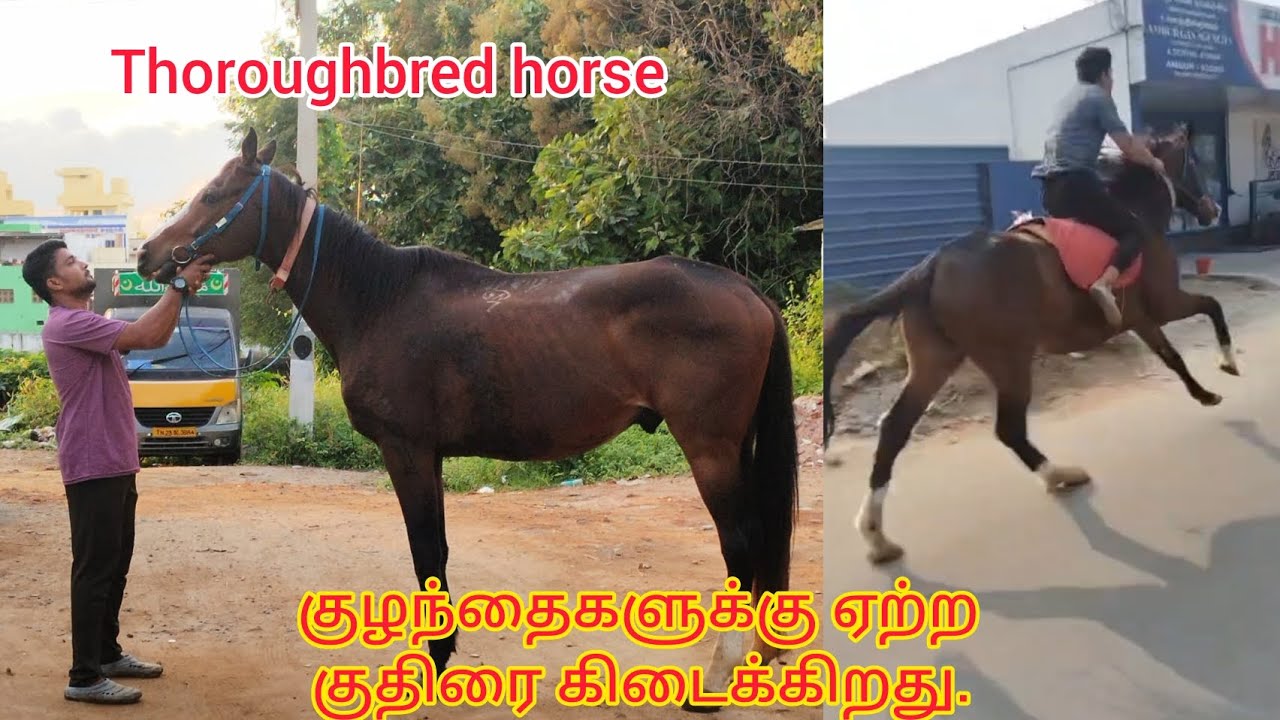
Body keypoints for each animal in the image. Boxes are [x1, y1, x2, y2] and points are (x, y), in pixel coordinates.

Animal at [136, 129, 800, 703]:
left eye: (214, 195)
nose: (148, 255)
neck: (377, 300)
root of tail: (744, 290)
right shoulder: (429, 455)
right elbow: (440, 551)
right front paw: (443, 652)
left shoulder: (405, 450)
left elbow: (425, 550)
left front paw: (431, 664)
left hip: (710, 450)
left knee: (741, 547)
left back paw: (718, 679)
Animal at [823, 123, 1230, 565]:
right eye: (1197, 161)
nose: (1213, 209)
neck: (1137, 215)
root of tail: (932, 266)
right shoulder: (1163, 306)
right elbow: (1209, 311)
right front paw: (1225, 367)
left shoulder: (1142, 319)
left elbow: (1172, 357)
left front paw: (1206, 392)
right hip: (1009, 359)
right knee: (1009, 428)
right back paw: (1060, 475)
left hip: (936, 361)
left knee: (896, 427)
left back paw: (876, 536)